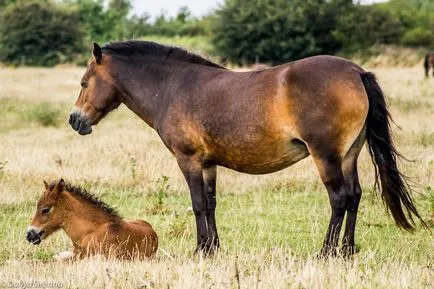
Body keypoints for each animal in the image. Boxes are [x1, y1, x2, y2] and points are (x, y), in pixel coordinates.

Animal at [68, 40, 424, 254]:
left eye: (84, 82)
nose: (75, 120)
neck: (171, 87)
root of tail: (356, 71)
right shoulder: (208, 164)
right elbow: (211, 204)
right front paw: (214, 249)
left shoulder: (189, 160)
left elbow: (197, 204)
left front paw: (201, 249)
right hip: (349, 154)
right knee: (355, 197)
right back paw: (347, 250)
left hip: (326, 155)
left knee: (340, 198)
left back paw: (326, 253)